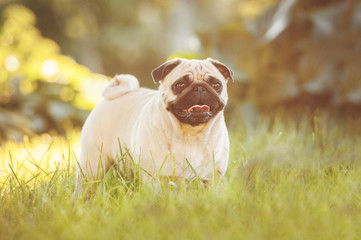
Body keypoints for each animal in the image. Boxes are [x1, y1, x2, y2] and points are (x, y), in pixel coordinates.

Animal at [76, 58, 233, 188]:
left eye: (216, 85)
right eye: (180, 85)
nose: (200, 87)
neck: (191, 135)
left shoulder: (211, 180)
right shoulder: (154, 178)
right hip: (92, 165)